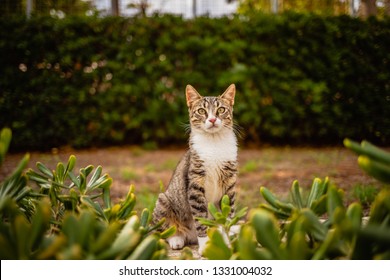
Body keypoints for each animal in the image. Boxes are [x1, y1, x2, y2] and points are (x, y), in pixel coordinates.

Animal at [152, 83, 238, 254]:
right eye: (201, 111)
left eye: (221, 110)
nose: (212, 119)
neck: (214, 143)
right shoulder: (195, 182)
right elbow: (200, 215)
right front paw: (204, 246)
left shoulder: (230, 182)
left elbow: (228, 212)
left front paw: (226, 241)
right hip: (164, 201)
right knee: (165, 229)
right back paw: (176, 239)